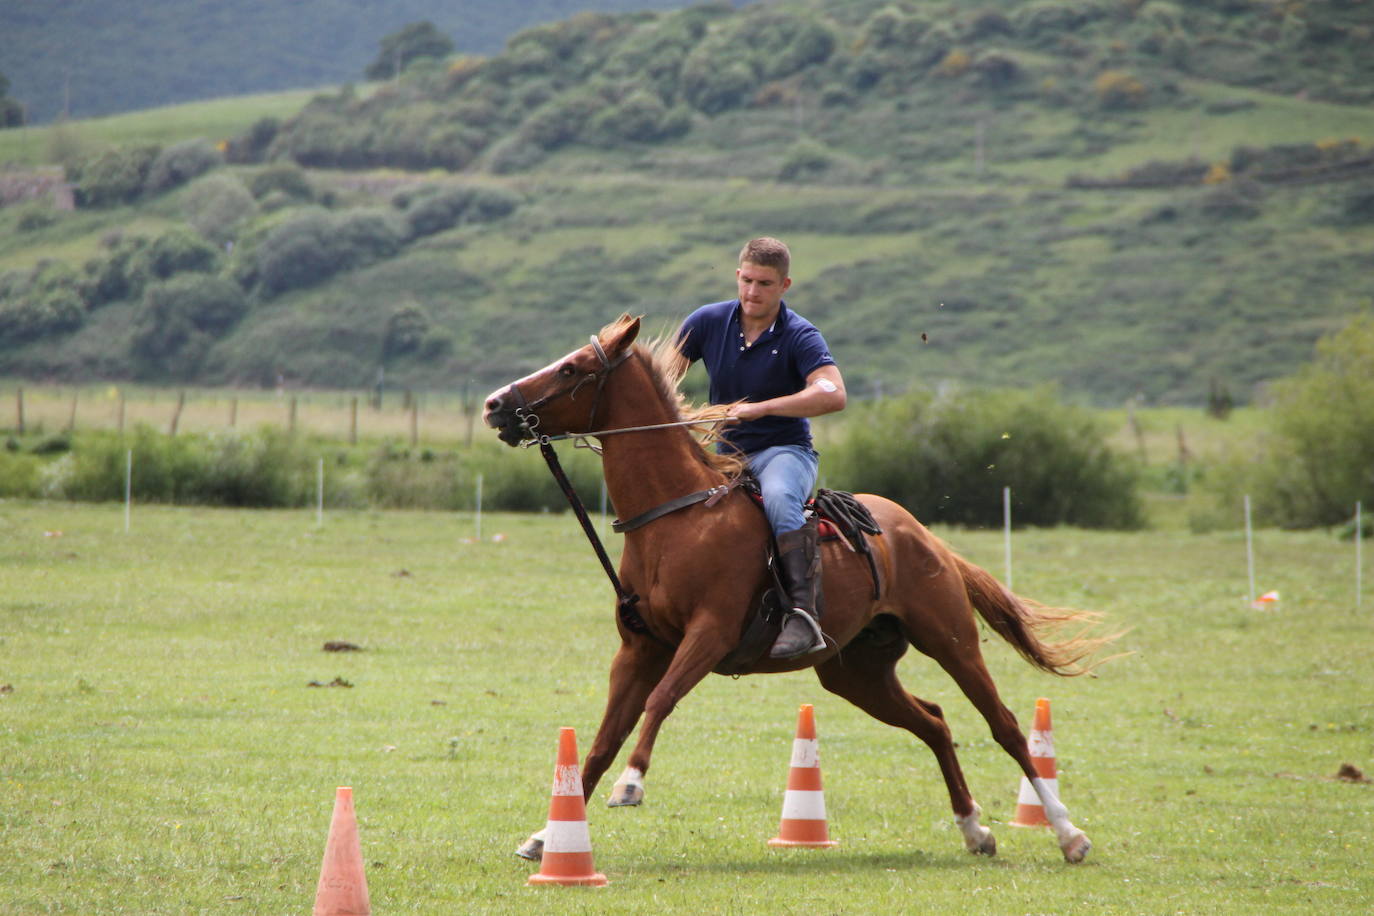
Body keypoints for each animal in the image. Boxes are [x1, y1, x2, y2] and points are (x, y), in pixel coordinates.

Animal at [483, 317, 1104, 867]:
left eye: (572, 368)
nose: (493, 404)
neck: (677, 518)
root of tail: (927, 538)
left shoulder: (708, 635)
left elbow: (659, 702)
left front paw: (631, 785)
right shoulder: (638, 650)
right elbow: (600, 741)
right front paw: (547, 837)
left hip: (951, 640)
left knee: (1006, 726)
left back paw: (1068, 834)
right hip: (856, 672)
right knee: (933, 722)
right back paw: (975, 830)